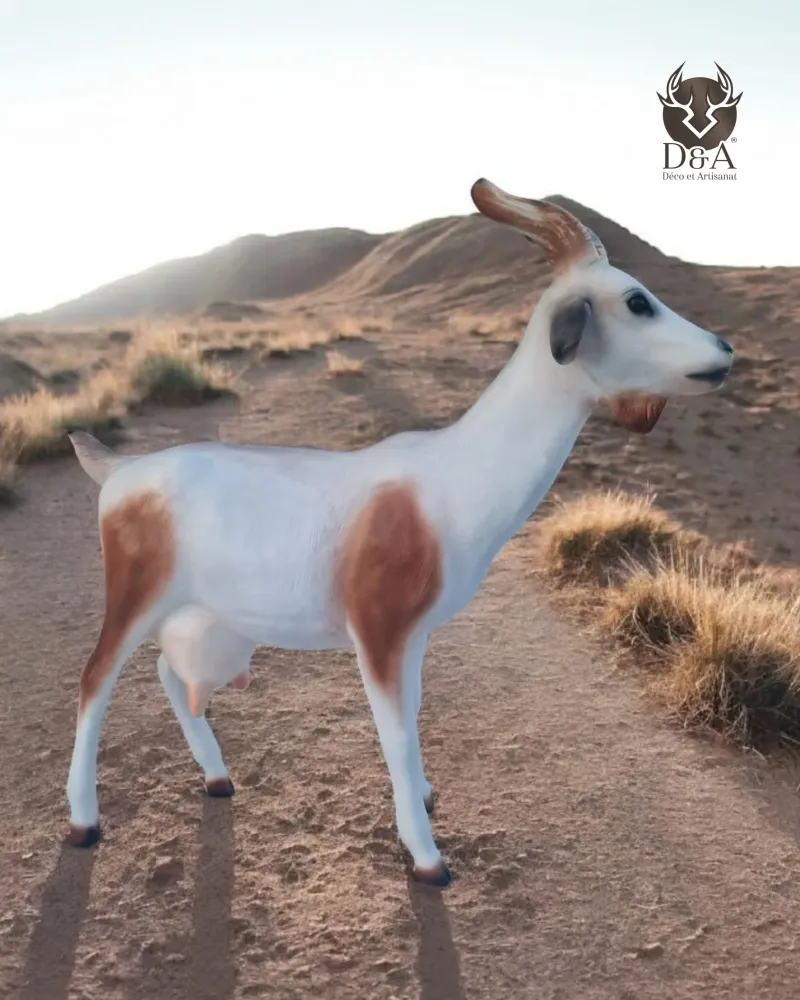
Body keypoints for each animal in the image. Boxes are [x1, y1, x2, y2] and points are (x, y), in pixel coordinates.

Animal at [64, 179, 734, 886]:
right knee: (95, 679)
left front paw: (427, 799)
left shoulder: (414, 638)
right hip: (137, 597)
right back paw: (83, 822)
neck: (451, 476)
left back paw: (218, 779)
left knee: (169, 674)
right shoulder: (378, 633)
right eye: (636, 300)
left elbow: (412, 714)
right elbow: (395, 732)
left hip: (210, 620)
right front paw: (427, 857)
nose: (724, 351)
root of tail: (122, 471)